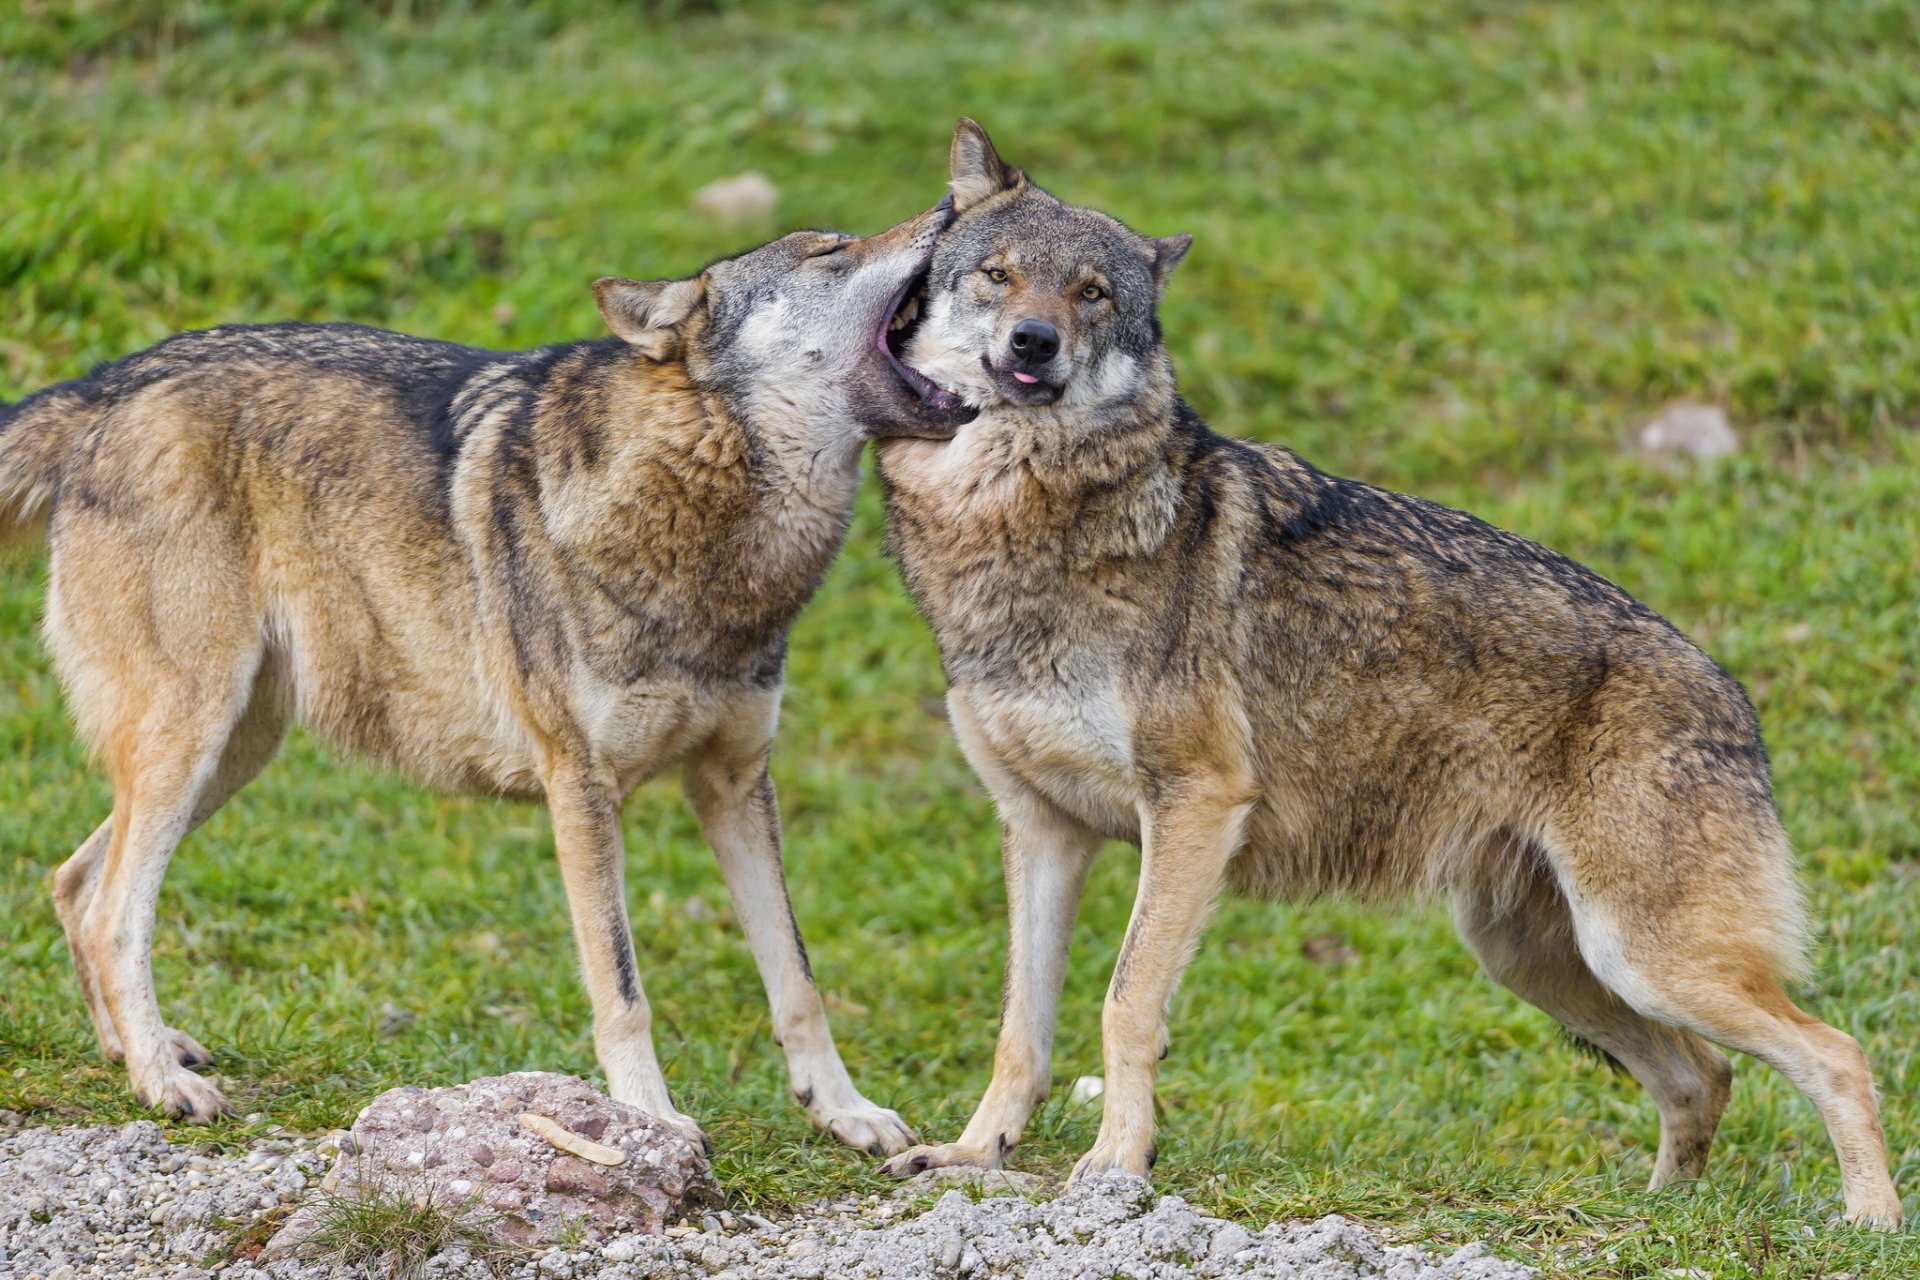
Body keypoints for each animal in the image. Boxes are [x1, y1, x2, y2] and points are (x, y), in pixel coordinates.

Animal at [0, 198, 973, 1151]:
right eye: (830, 252)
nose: (949, 204)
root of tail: (108, 382)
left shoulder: (734, 781)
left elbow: (798, 981)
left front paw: (845, 1112)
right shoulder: (581, 788)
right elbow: (623, 987)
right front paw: (650, 1119)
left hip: (235, 751)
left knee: (74, 882)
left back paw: (139, 1053)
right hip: (193, 739)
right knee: (115, 911)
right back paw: (162, 1084)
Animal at [872, 120, 1901, 1226]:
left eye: (1092, 293)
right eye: (999, 275)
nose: (1035, 342)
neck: (1015, 527)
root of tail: (1736, 696)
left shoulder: (1194, 804)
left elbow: (1125, 1002)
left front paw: (1117, 1165)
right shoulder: (1042, 830)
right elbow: (1020, 1027)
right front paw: (972, 1152)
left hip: (1641, 956)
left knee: (1836, 1052)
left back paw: (1871, 1222)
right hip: (1544, 959)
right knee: (1703, 1075)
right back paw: (1654, 1217)